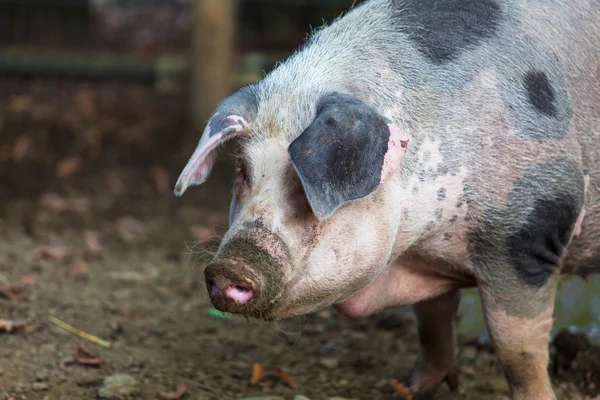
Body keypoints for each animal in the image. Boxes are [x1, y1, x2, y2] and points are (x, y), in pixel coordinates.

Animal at [173, 1, 600, 398]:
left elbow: (519, 353)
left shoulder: (528, 235)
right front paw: (412, 389)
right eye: (243, 170)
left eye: (302, 184)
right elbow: (432, 323)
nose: (229, 266)